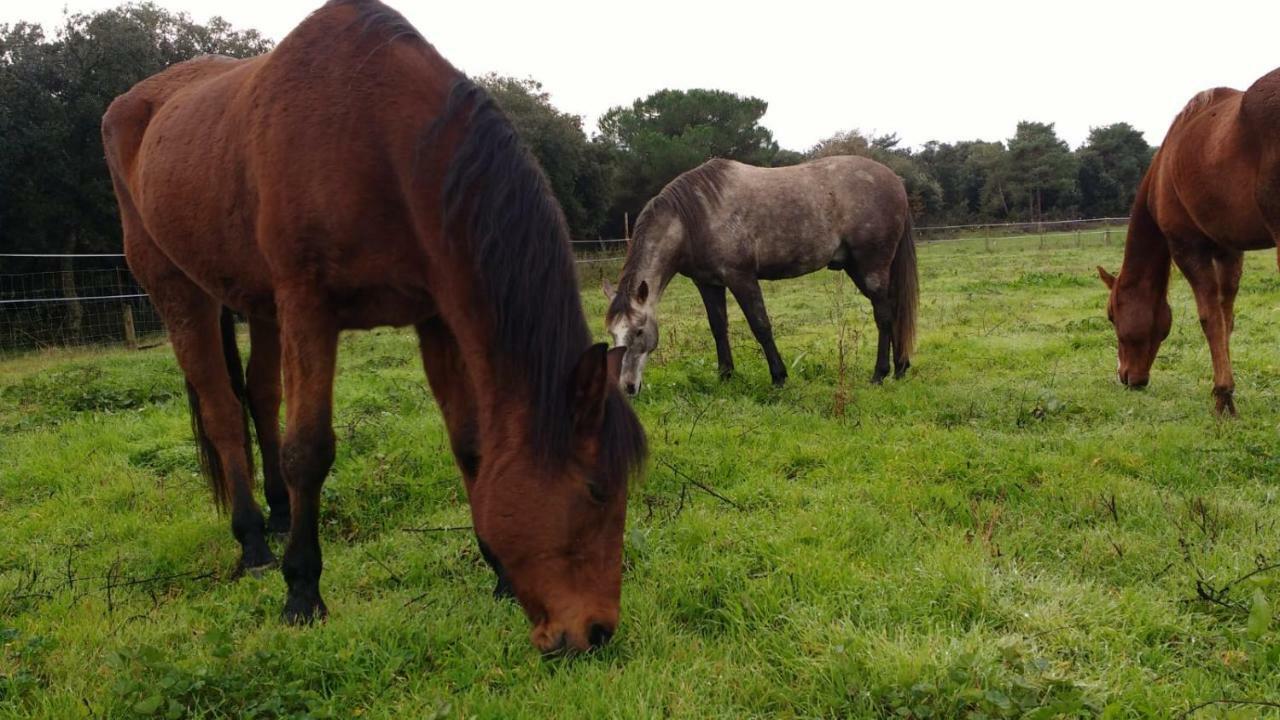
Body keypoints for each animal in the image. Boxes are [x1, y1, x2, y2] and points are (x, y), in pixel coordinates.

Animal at [97, 0, 650, 650]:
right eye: (595, 489)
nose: (596, 630)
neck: (378, 143)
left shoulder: (435, 317)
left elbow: (470, 444)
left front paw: (497, 575)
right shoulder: (309, 307)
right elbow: (309, 448)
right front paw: (302, 592)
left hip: (259, 304)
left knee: (261, 396)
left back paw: (281, 515)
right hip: (180, 292)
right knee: (224, 413)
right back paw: (255, 542)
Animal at [601, 154, 916, 394]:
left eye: (639, 331)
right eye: (613, 334)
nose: (627, 387)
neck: (695, 218)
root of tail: (896, 181)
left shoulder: (741, 278)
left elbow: (761, 326)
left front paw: (779, 377)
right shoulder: (708, 283)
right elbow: (718, 328)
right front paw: (725, 375)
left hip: (871, 267)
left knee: (883, 316)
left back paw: (880, 374)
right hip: (857, 268)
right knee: (893, 310)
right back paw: (901, 368)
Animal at [1095, 68, 1280, 415]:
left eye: (1112, 316)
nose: (1125, 376)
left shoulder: (1188, 248)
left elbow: (1210, 319)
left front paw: (1222, 396)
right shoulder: (1229, 252)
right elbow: (1226, 318)